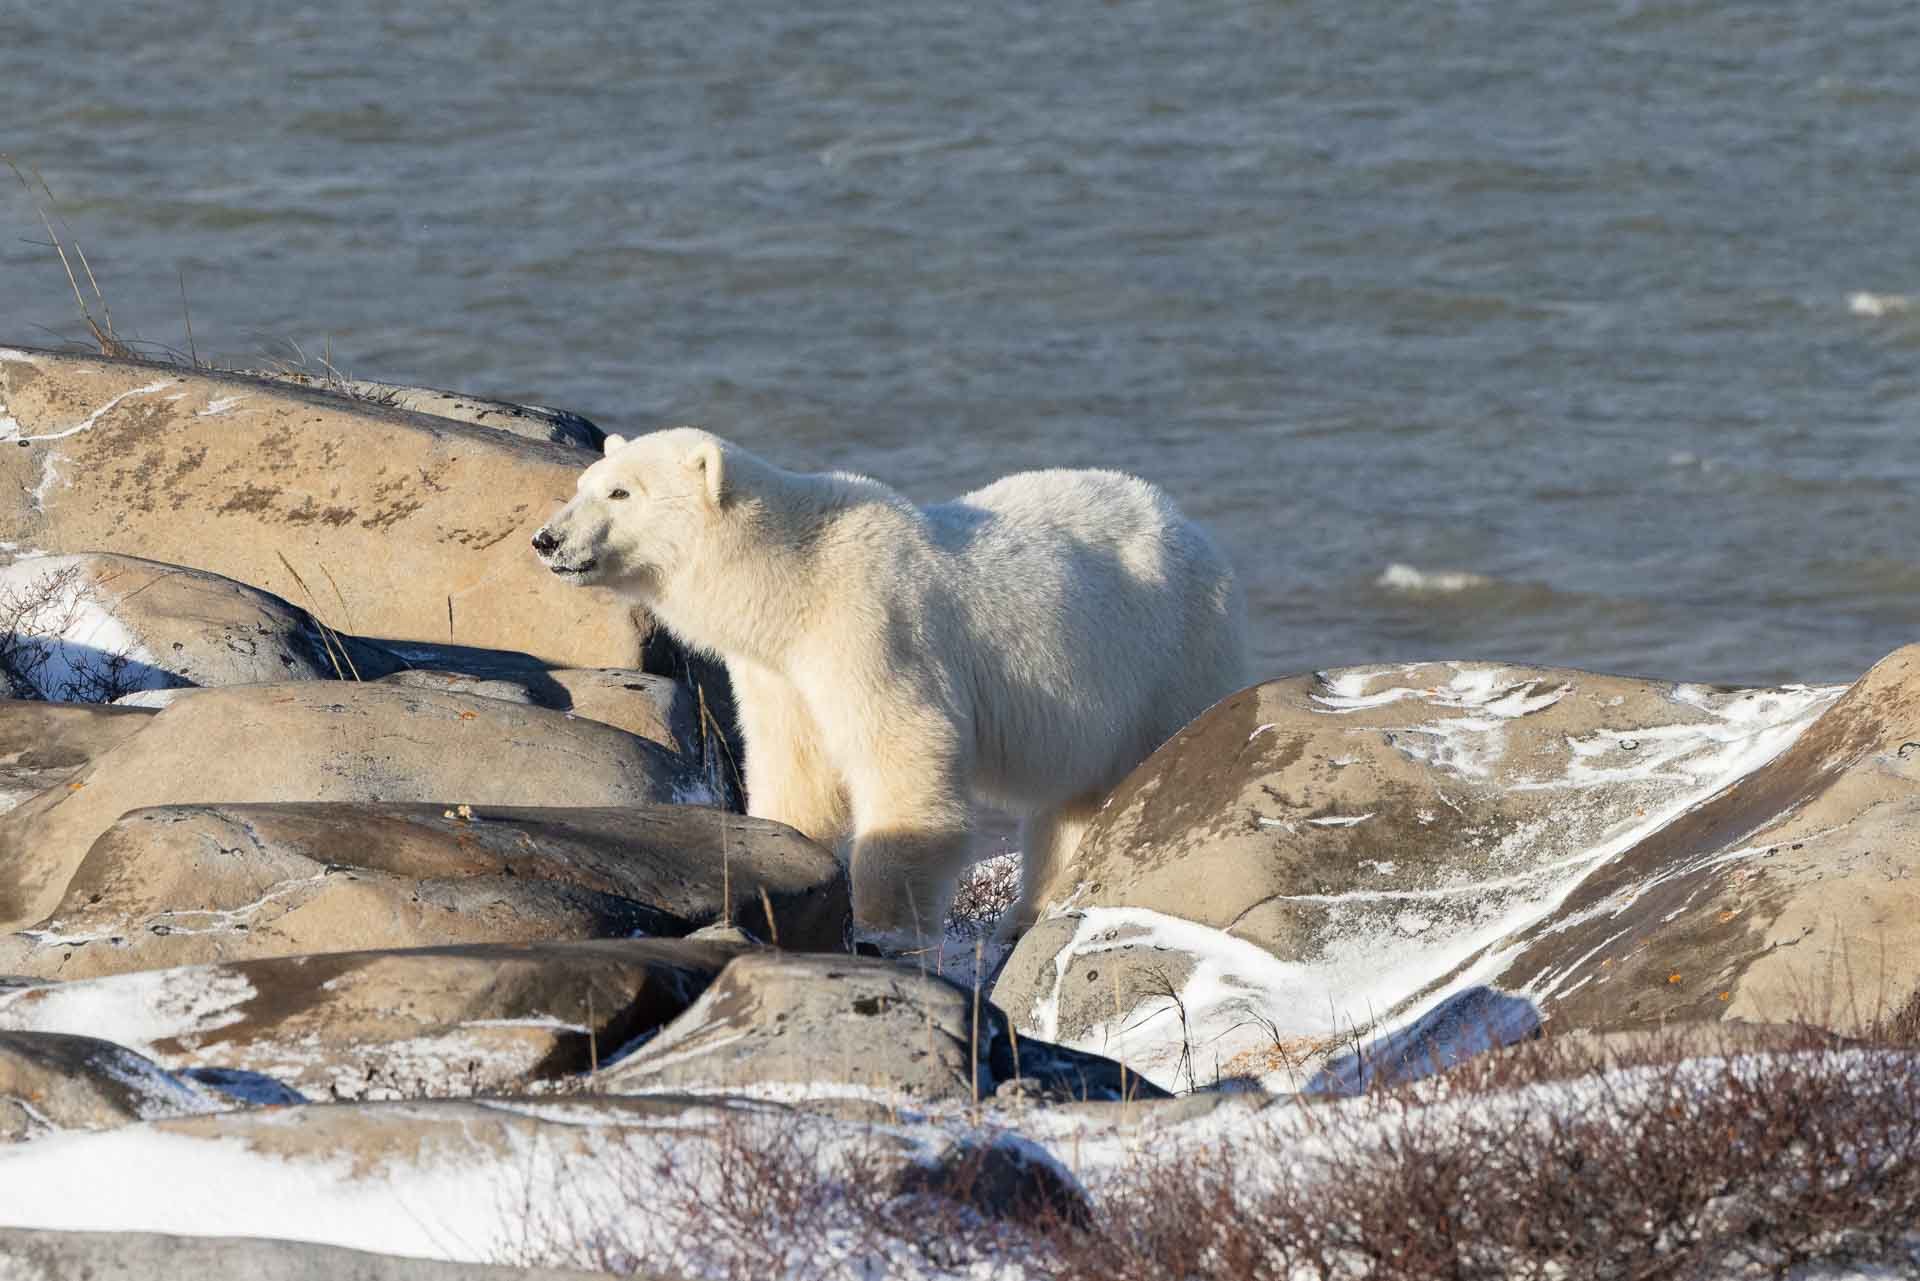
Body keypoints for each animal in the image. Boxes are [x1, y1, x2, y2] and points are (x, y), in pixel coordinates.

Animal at [532, 427, 1249, 944]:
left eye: (621, 494)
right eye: (585, 484)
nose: (547, 539)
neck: (796, 578)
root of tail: (1187, 525)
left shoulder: (874, 627)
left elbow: (903, 750)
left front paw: (887, 922)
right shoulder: (778, 670)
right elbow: (796, 765)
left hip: (1170, 656)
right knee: (1073, 800)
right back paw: (1031, 910)